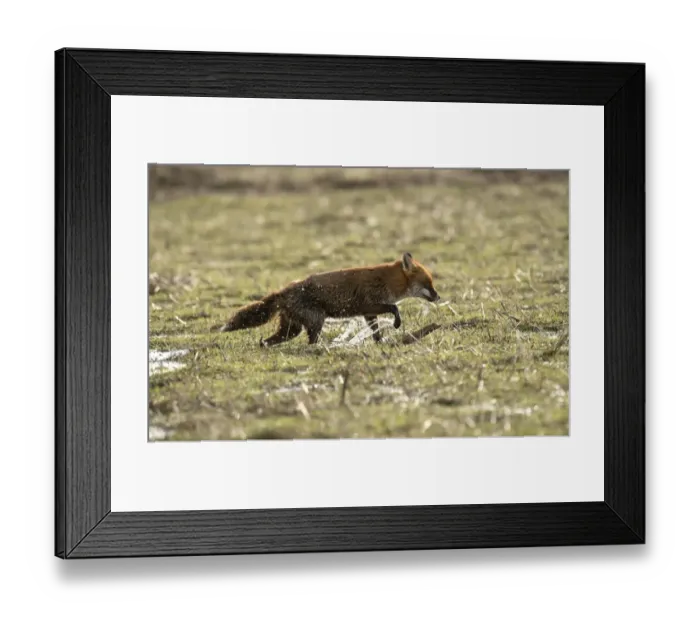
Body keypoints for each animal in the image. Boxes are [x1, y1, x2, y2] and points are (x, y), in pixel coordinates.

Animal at [218, 252, 440, 347]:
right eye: (428, 284)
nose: (439, 297)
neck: (387, 281)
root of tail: (284, 290)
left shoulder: (369, 313)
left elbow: (376, 332)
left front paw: (381, 342)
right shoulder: (369, 304)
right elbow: (394, 308)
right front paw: (396, 324)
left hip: (292, 329)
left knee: (269, 341)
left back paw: (264, 345)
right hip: (316, 321)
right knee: (310, 342)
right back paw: (318, 349)